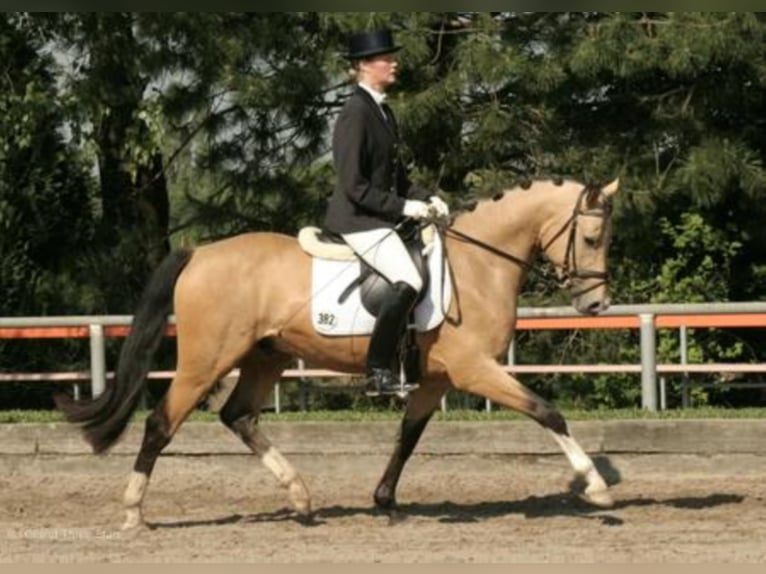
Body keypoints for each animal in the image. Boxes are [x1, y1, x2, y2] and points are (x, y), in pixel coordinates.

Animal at [56, 177, 619, 530]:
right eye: (592, 236)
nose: (596, 304)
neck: (479, 263)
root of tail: (199, 253)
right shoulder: (474, 370)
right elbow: (547, 411)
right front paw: (594, 486)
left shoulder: (437, 379)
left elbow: (407, 437)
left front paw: (385, 502)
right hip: (205, 360)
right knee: (161, 423)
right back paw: (133, 512)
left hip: (266, 356)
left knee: (238, 416)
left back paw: (300, 496)